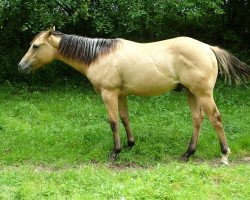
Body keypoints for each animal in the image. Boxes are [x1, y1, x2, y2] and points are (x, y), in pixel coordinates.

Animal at [18, 27, 249, 166]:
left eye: (36, 46)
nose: (21, 66)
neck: (98, 55)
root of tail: (208, 48)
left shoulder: (108, 94)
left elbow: (112, 121)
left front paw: (115, 152)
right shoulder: (120, 95)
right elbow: (124, 118)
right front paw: (130, 145)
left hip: (202, 93)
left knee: (215, 118)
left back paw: (224, 154)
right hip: (190, 92)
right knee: (198, 119)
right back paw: (187, 153)